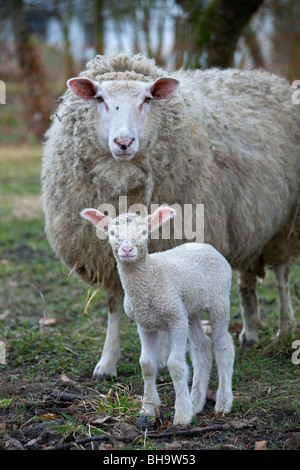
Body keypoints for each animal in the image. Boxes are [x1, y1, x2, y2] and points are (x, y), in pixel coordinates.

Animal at [42, 54, 300, 378]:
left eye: (147, 98)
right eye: (99, 98)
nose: (123, 142)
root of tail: (262, 75)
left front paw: (164, 357)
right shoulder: (106, 257)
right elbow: (114, 307)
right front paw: (107, 361)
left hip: (285, 224)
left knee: (282, 277)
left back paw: (285, 327)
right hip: (248, 220)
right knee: (248, 277)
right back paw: (251, 331)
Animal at [81, 204, 234, 424]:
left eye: (144, 232)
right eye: (113, 233)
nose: (127, 250)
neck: (152, 275)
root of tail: (205, 245)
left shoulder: (176, 318)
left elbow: (176, 365)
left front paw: (182, 415)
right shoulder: (145, 323)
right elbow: (146, 365)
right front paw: (149, 409)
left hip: (219, 301)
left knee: (223, 346)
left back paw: (223, 402)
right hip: (190, 310)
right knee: (202, 347)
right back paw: (196, 401)